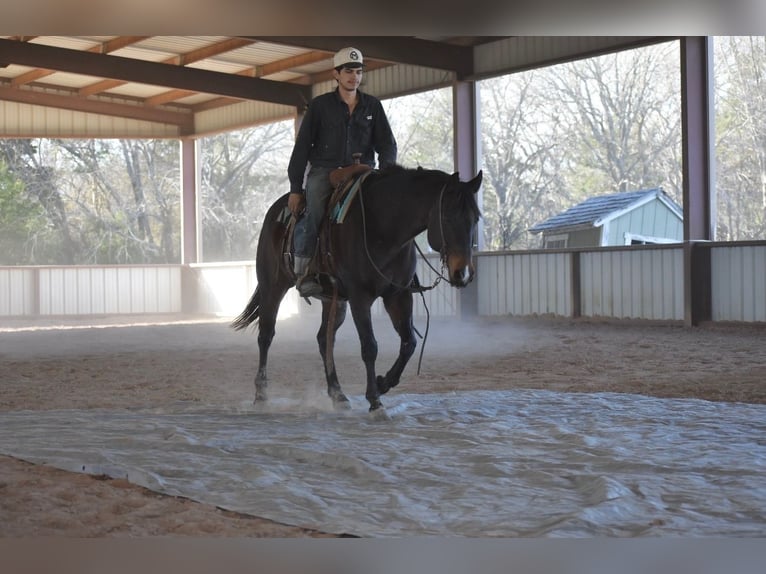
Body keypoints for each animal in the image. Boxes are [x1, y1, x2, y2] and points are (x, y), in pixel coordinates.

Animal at [231, 165, 482, 413]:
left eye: (476, 219)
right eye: (447, 217)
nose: (463, 273)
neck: (383, 227)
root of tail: (276, 210)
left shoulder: (398, 295)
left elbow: (409, 343)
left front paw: (383, 383)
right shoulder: (360, 297)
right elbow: (369, 346)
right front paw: (374, 400)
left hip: (333, 300)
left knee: (324, 340)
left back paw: (337, 394)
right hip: (272, 287)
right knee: (266, 335)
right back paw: (261, 395)